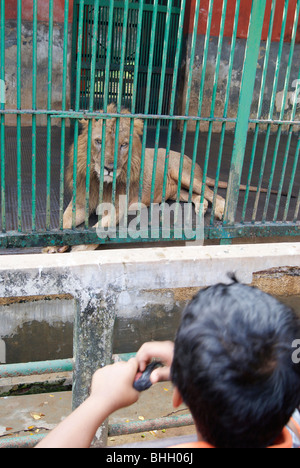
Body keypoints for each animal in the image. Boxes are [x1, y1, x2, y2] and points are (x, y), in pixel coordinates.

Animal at [43, 104, 225, 254]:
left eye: (123, 145)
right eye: (98, 141)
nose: (109, 168)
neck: (100, 182)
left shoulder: (117, 208)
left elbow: (100, 227)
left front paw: (80, 246)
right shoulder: (80, 203)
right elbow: (64, 221)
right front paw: (54, 243)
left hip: (185, 176)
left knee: (213, 193)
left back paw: (220, 210)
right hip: (175, 192)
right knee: (196, 196)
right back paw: (201, 207)